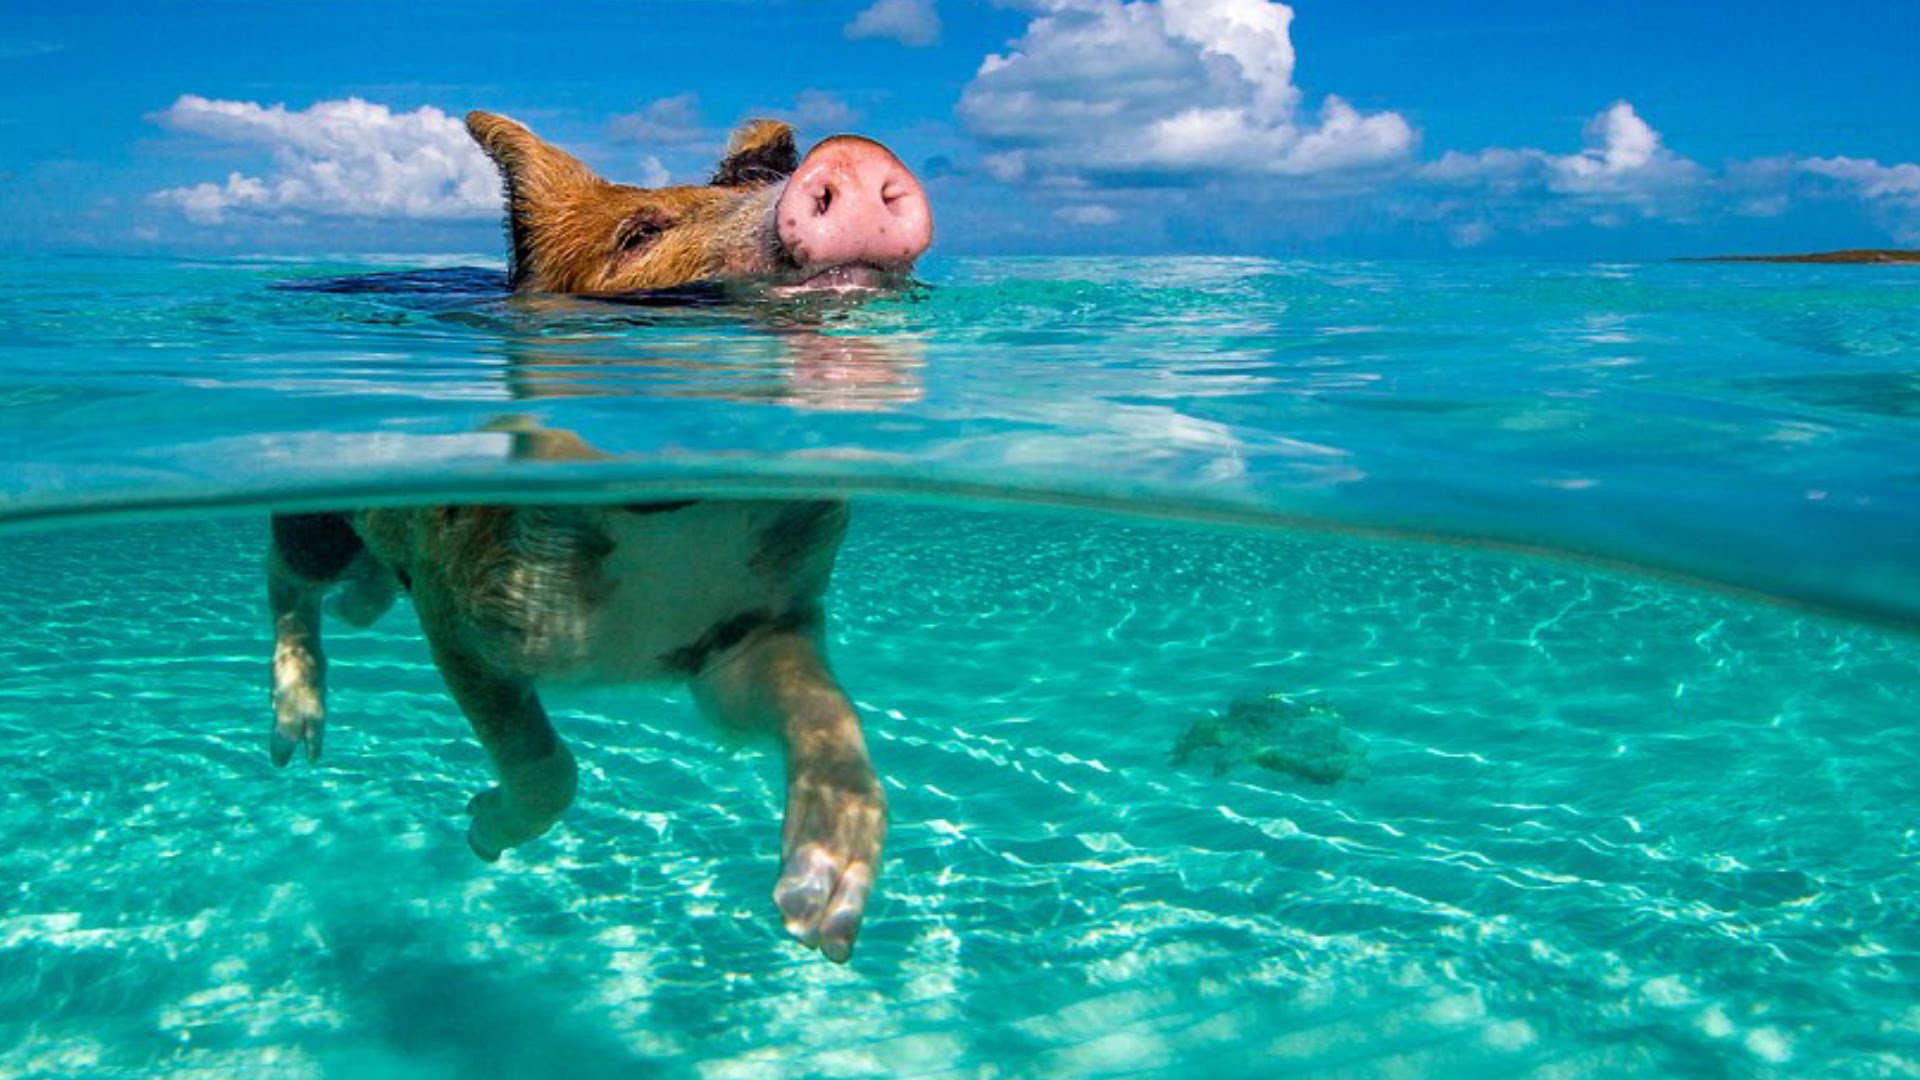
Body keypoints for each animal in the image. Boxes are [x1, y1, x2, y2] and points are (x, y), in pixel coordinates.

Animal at [265, 111, 933, 963]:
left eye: (756, 187)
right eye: (638, 234)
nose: (849, 155)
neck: (675, 528)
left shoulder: (746, 632)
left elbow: (826, 707)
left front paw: (821, 917)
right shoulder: (461, 615)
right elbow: (545, 763)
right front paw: (479, 834)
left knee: (355, 596)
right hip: (320, 519)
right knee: (286, 579)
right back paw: (295, 743)